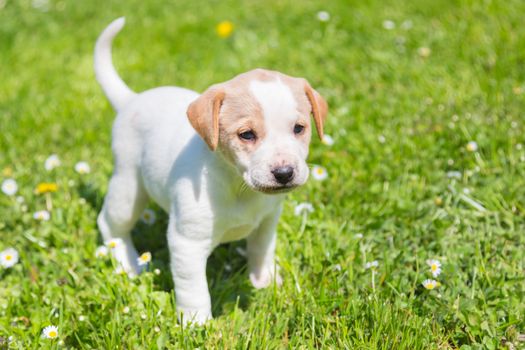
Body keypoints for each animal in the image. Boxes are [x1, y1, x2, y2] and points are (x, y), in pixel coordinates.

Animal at [92, 17, 326, 324]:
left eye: (299, 128)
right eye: (247, 135)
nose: (285, 173)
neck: (238, 185)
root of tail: (132, 100)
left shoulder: (267, 221)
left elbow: (261, 250)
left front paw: (264, 282)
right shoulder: (187, 243)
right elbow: (194, 289)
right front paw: (195, 324)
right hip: (128, 187)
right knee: (111, 224)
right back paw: (128, 264)